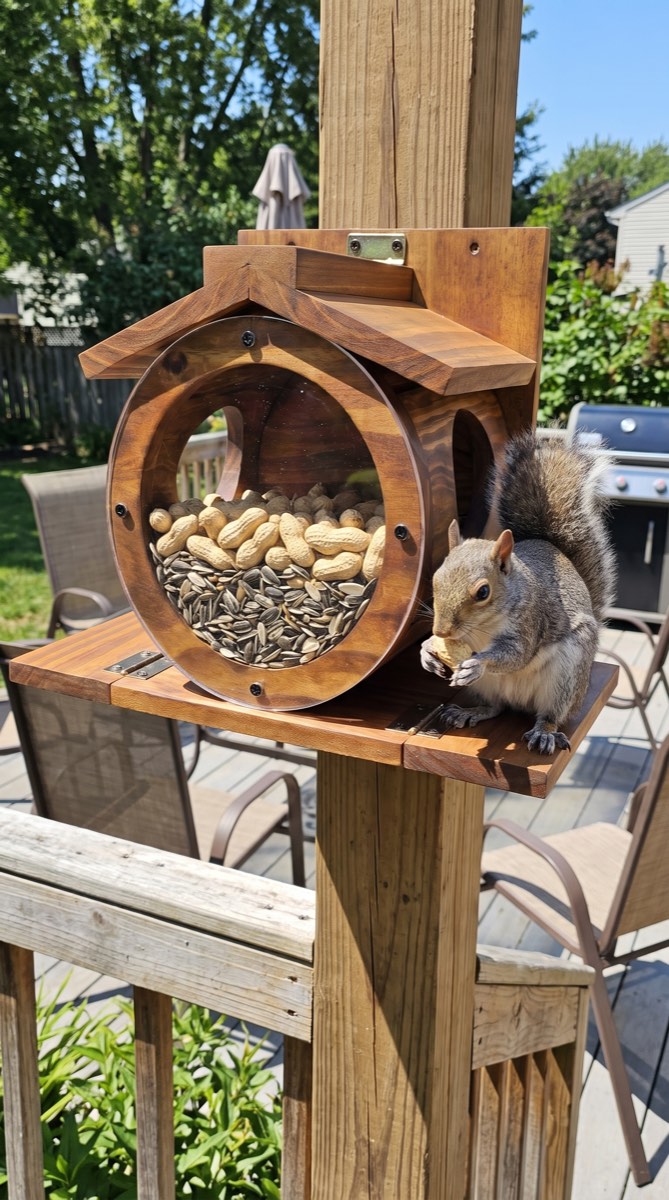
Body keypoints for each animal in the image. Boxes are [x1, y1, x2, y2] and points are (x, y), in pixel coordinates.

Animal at [420, 429, 616, 755]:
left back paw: (545, 732)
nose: (442, 631)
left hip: (567, 676)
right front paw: (426, 652)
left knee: (551, 714)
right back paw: (469, 712)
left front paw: (478, 663)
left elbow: (517, 654)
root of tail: (520, 701)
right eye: (435, 577)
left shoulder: (530, 621)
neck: (482, 629)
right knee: (496, 707)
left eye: (483, 592)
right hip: (489, 688)